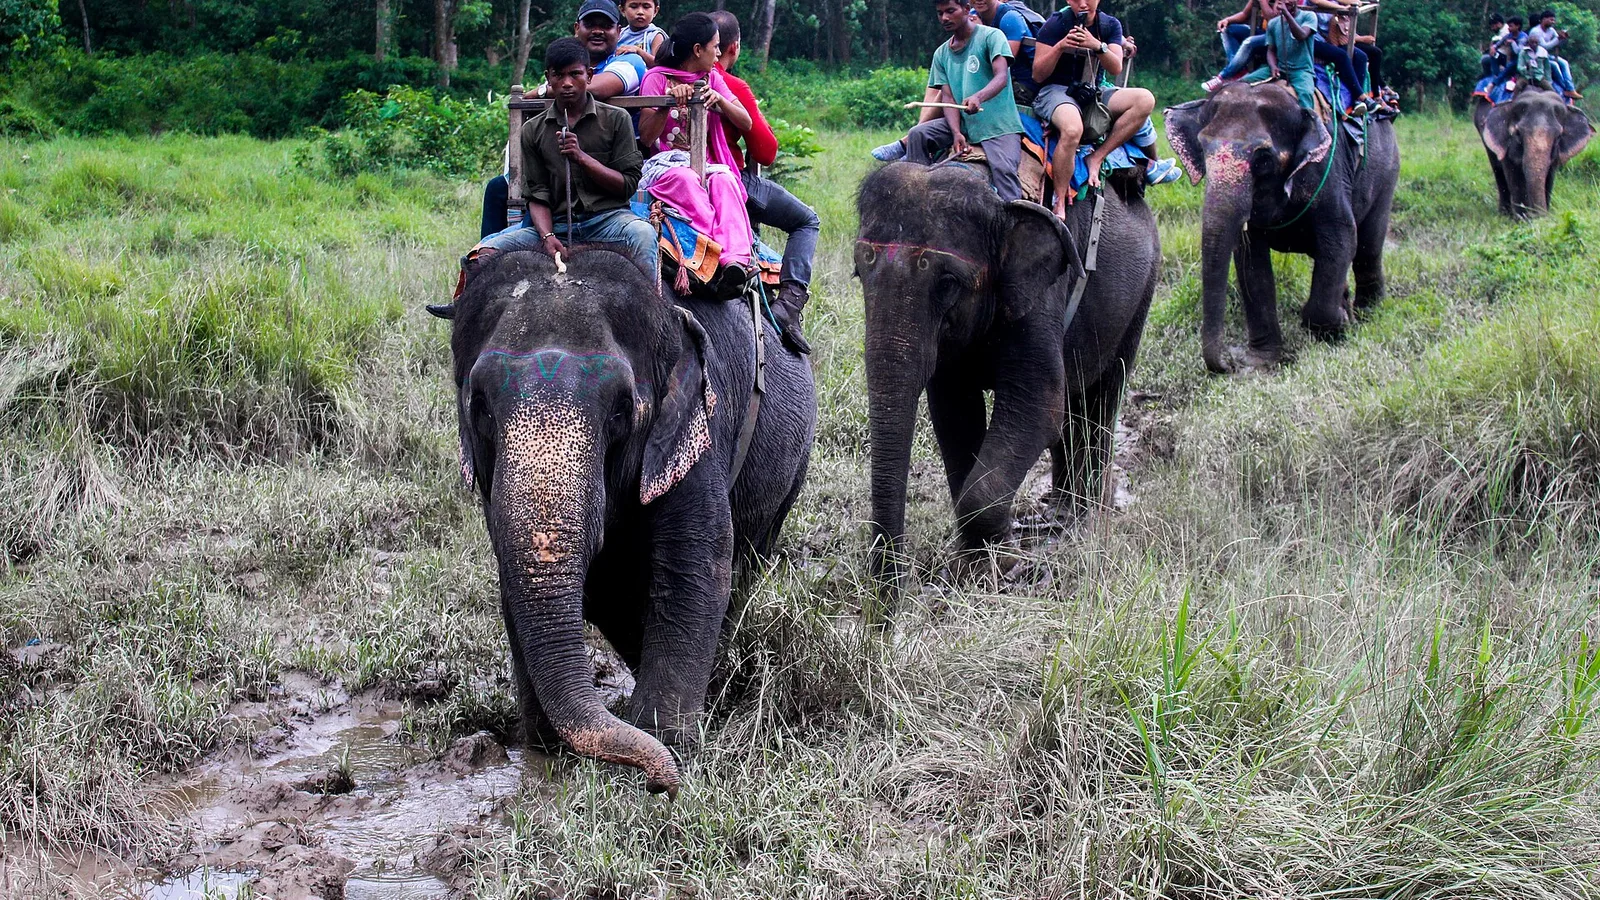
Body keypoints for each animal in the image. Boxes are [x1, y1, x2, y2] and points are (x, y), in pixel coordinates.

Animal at [444, 247, 815, 796]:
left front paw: (667, 740)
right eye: (482, 407)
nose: (663, 785)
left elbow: (695, 565)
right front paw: (543, 744)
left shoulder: (696, 424)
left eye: (622, 409)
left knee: (749, 561)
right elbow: (525, 578)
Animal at [856, 162, 1161, 600]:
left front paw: (1005, 567)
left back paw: (1086, 519)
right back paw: (1058, 513)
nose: (889, 600)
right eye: (858, 271)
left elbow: (1040, 402)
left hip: (1141, 292)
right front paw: (975, 564)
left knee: (1102, 396)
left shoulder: (1042, 296)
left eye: (948, 282)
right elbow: (953, 412)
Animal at [1164, 82, 1400, 373]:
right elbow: (1250, 260)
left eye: (1264, 159)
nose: (1229, 364)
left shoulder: (1327, 171)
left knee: (1368, 246)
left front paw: (1337, 326)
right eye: (1201, 147)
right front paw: (1262, 361)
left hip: (1387, 169)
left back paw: (1368, 314)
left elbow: (1342, 236)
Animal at [1474, 89, 1593, 219]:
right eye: (1518, 134)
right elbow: (1514, 177)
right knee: (1497, 170)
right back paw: (1504, 215)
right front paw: (1522, 219)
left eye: (1558, 137)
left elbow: (1549, 177)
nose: (1536, 215)